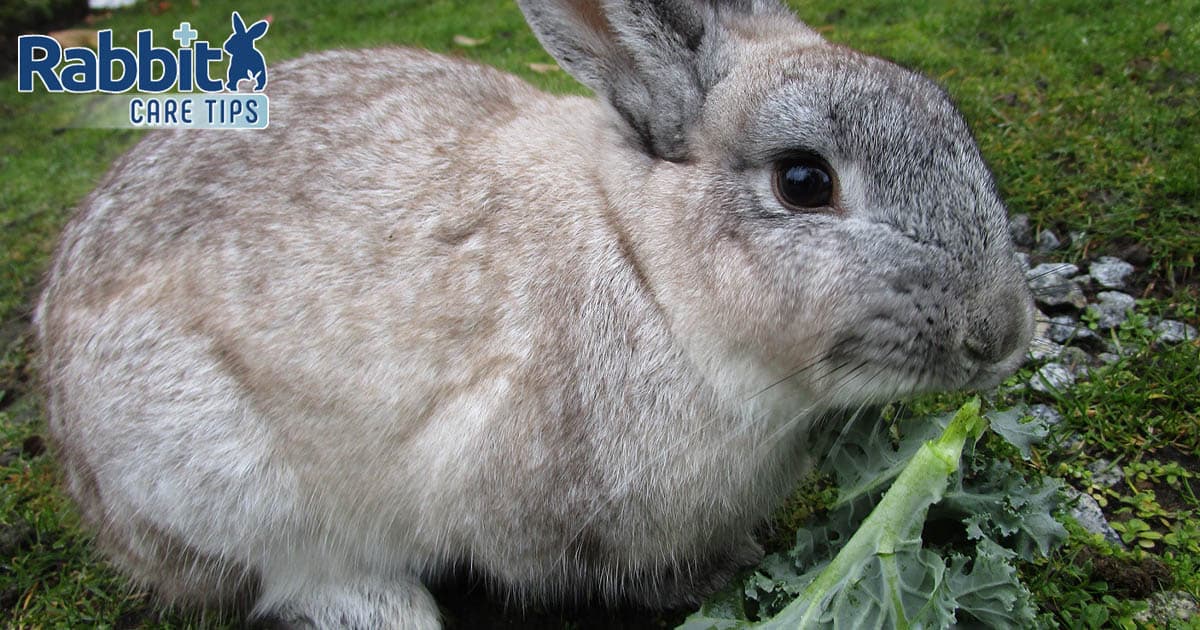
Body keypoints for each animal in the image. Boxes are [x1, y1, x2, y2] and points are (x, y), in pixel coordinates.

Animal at [35, 0, 1032, 624]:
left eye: (952, 122)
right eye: (802, 181)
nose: (1004, 334)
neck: (647, 266)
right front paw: (722, 571)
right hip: (219, 478)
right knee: (297, 574)